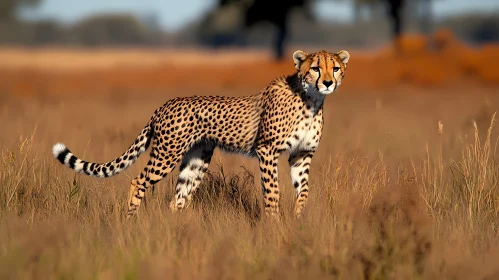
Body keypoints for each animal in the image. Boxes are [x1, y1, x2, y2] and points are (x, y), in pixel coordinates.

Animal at [52, 48, 352, 219]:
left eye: (336, 68)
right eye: (315, 68)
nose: (328, 82)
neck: (310, 99)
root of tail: (164, 104)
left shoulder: (302, 154)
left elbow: (304, 191)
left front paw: (299, 222)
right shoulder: (267, 150)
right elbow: (273, 192)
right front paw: (274, 225)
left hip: (196, 160)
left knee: (178, 199)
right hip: (167, 154)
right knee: (138, 181)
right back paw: (130, 221)